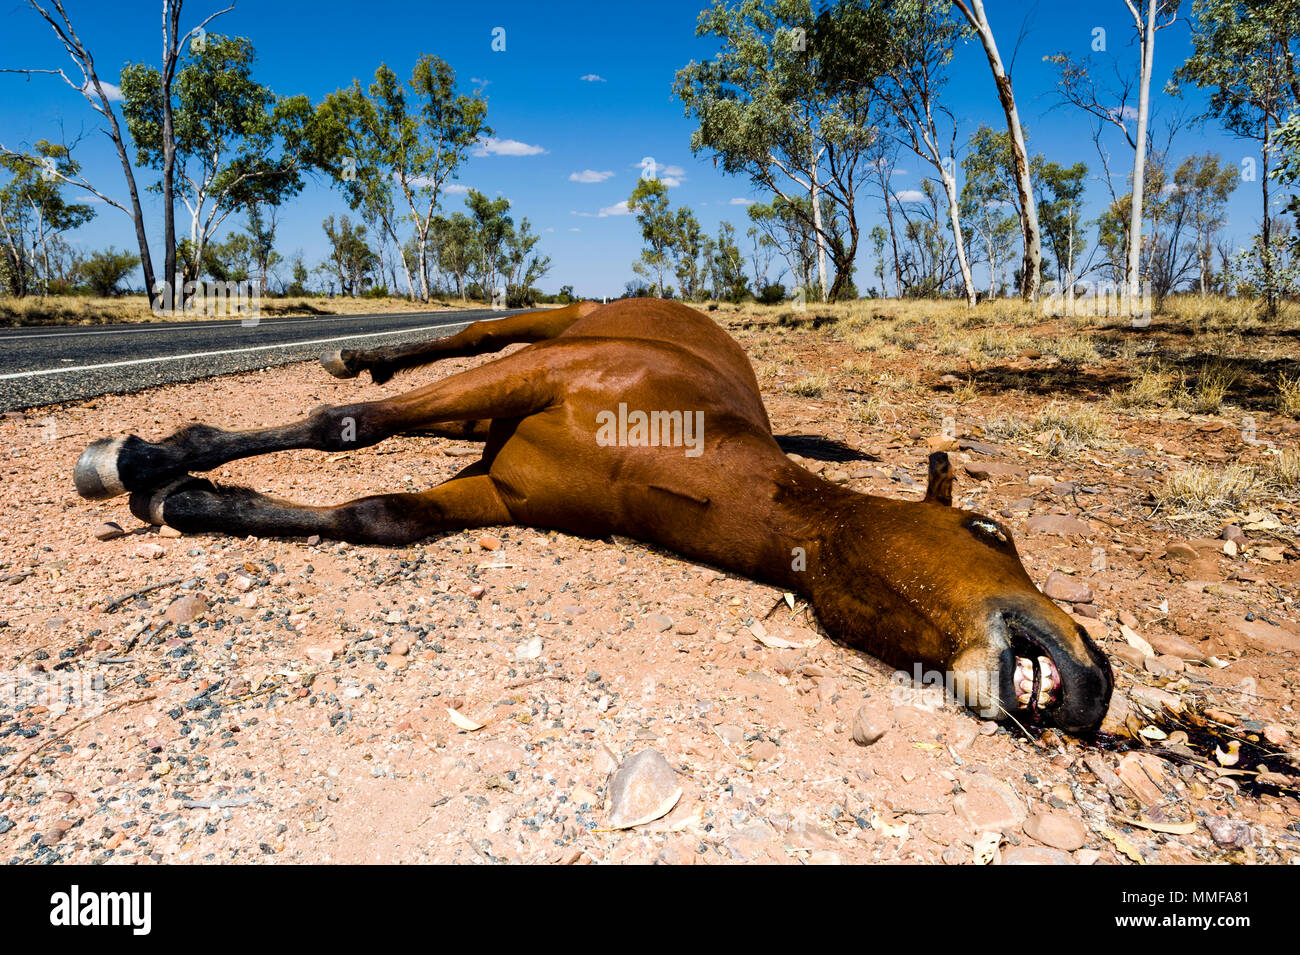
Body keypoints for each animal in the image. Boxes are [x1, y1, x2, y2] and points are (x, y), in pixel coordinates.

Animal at [73, 298, 1107, 732]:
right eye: (992, 532)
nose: (1095, 684)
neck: (673, 447)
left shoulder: (493, 490)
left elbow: (376, 515)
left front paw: (194, 497)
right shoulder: (530, 375)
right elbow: (342, 431)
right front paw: (142, 459)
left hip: (480, 413)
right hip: (535, 336)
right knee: (463, 335)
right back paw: (359, 352)